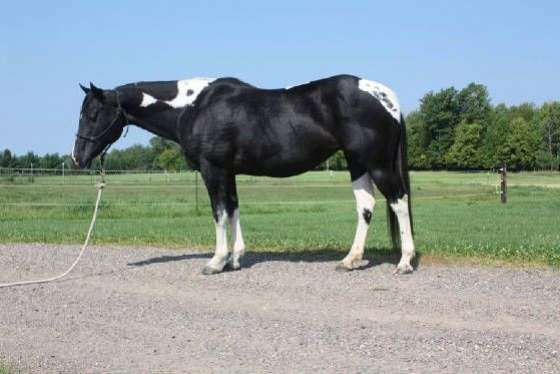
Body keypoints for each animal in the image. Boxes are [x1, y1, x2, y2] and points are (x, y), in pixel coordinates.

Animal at [72, 75, 416, 274]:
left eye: (93, 113)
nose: (78, 157)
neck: (194, 106)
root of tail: (387, 99)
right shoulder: (229, 172)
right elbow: (234, 209)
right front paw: (235, 259)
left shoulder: (213, 169)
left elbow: (219, 213)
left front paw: (215, 262)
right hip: (357, 163)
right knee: (366, 206)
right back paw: (350, 260)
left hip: (377, 164)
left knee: (399, 201)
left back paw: (404, 263)